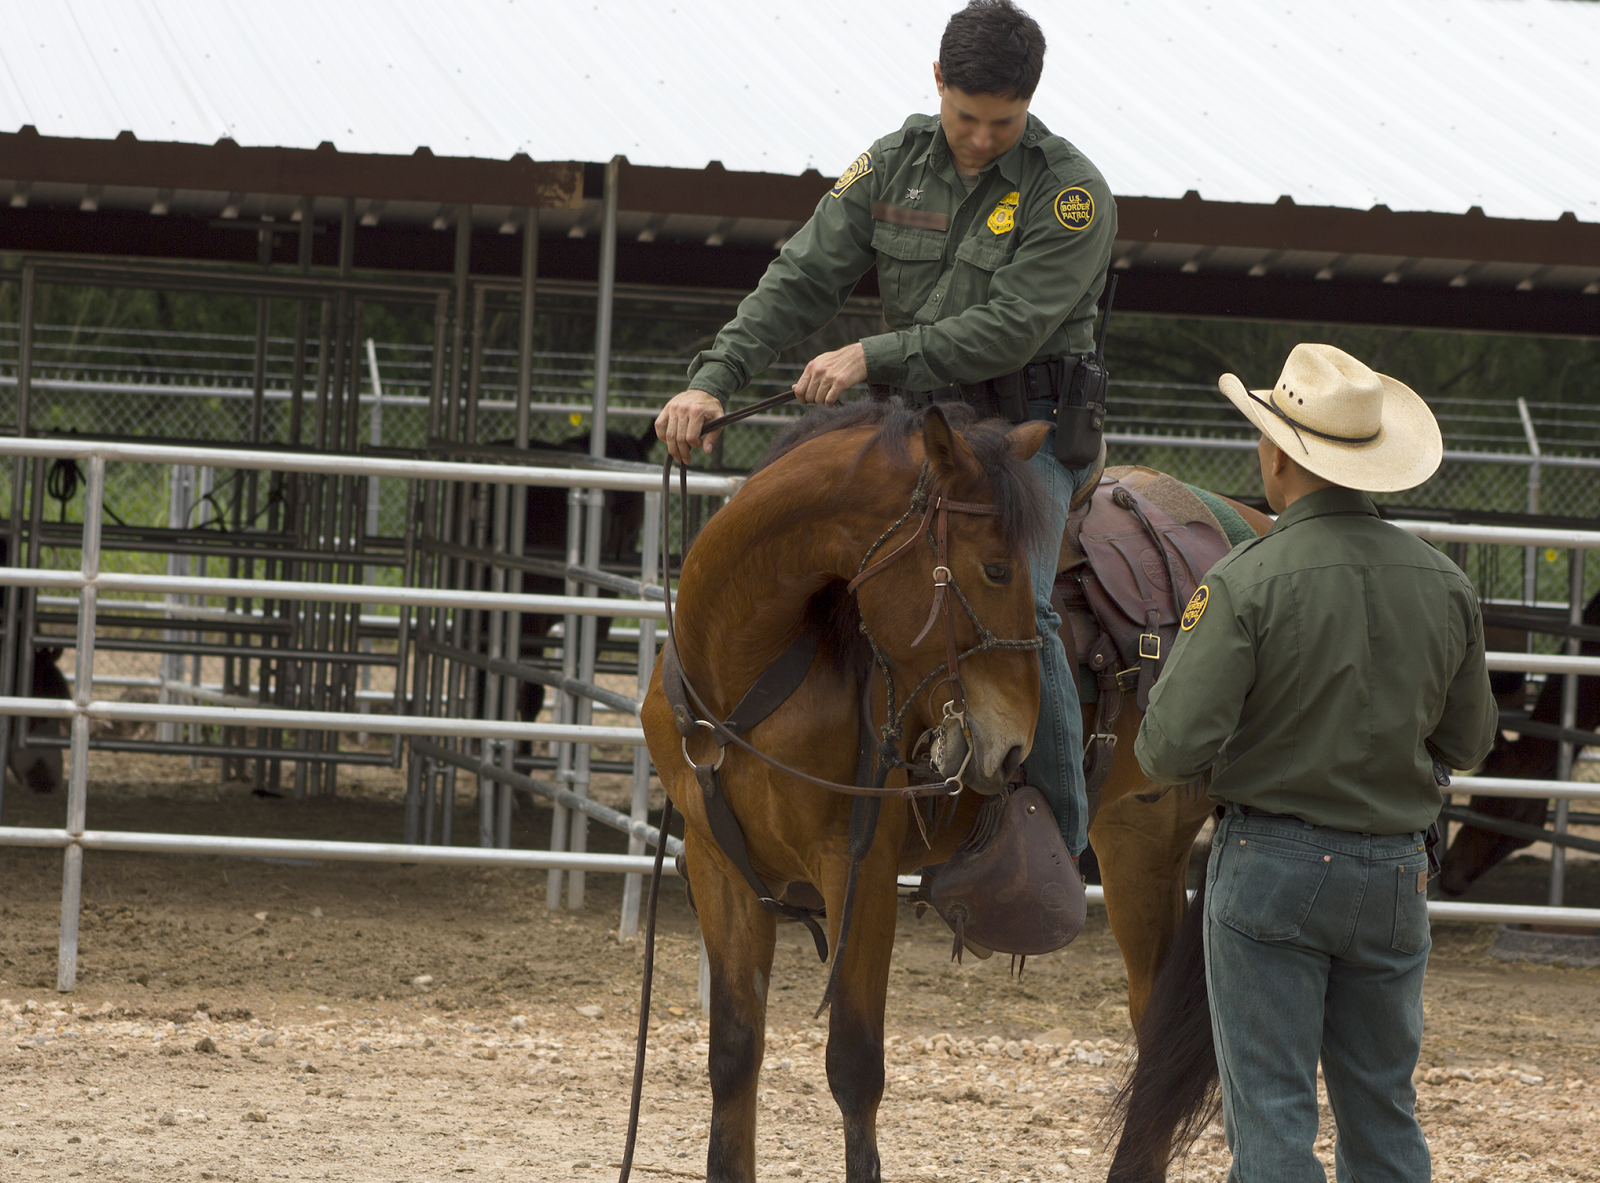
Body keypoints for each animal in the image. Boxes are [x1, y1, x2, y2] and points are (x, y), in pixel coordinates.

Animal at [638, 400, 1272, 1183]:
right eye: (994, 566)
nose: (1012, 745)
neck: (748, 673)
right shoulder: (718, 864)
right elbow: (732, 1056)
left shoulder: (859, 871)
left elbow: (854, 1069)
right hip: (1139, 843)